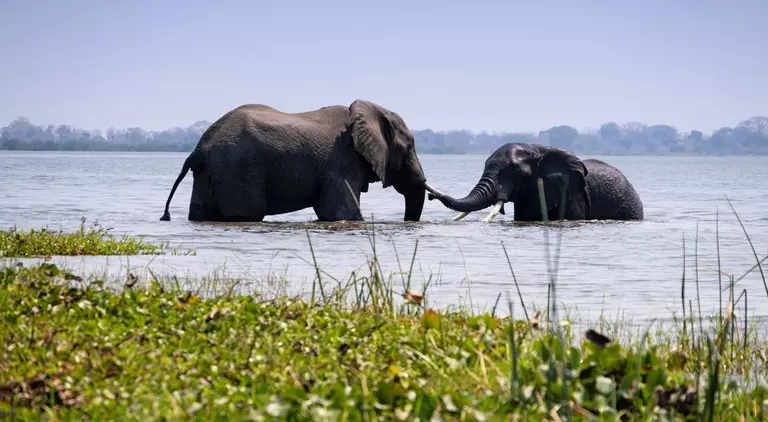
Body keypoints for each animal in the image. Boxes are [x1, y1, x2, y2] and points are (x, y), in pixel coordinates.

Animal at [159, 99, 443, 222]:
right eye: (410, 147)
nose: (432, 196)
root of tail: (198, 149)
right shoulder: (342, 163)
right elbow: (341, 214)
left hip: (212, 173)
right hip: (237, 169)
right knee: (247, 213)